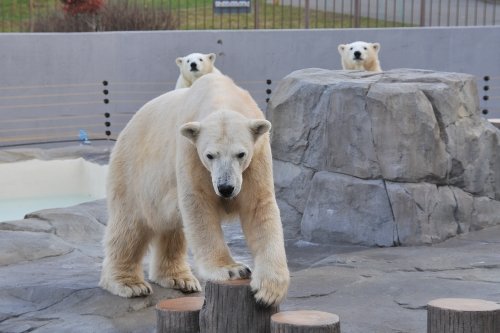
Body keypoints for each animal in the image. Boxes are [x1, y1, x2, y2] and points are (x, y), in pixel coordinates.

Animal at [99, 72, 290, 306]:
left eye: (241, 154)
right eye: (210, 155)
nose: (226, 188)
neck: (221, 96)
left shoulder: (257, 156)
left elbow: (258, 207)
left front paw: (269, 289)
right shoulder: (190, 152)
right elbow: (198, 203)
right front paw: (232, 269)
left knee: (172, 229)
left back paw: (179, 279)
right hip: (131, 171)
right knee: (129, 226)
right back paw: (129, 284)